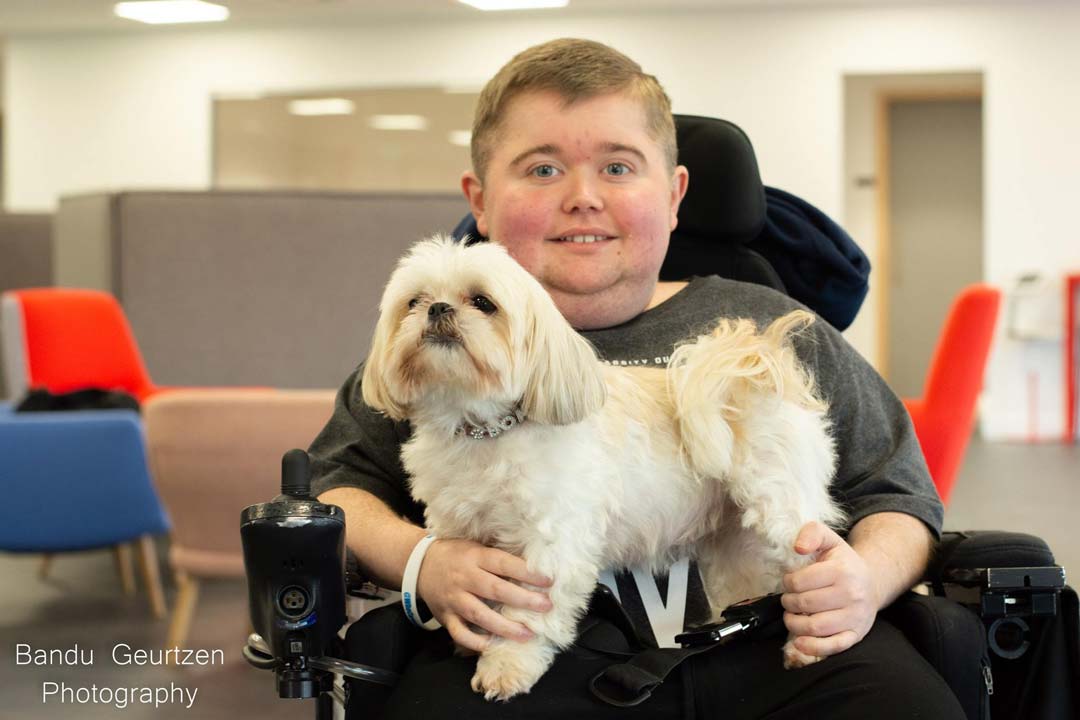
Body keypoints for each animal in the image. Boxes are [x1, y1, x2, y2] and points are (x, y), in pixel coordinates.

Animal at [362, 236, 842, 699]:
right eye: (414, 301)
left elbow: (525, 617)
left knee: (808, 569)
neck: (487, 432)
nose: (438, 308)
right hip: (732, 541)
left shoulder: (550, 545)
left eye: (483, 302)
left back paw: (807, 642)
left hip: (779, 512)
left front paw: (505, 665)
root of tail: (755, 365)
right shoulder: (463, 532)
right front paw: (472, 636)